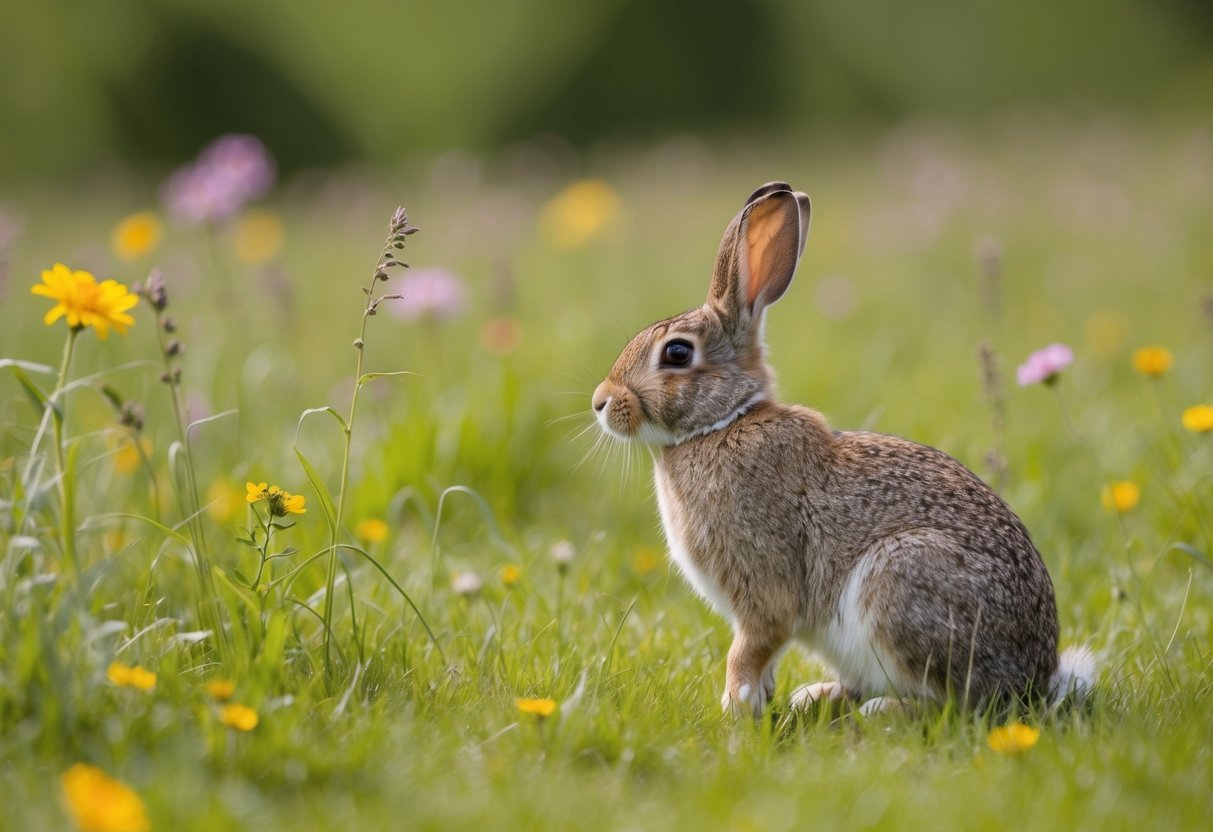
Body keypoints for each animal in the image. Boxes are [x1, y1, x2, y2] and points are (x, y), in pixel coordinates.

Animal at [591, 182, 1095, 717]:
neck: (722, 423)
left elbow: (750, 647)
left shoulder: (763, 589)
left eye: (677, 353)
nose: (600, 402)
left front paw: (736, 706)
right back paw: (816, 696)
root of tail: (1034, 681)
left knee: (959, 705)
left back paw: (880, 710)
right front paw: (760, 701)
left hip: (899, 581)